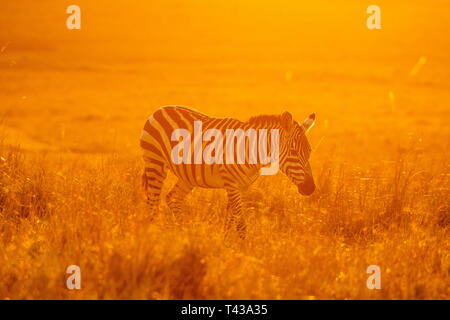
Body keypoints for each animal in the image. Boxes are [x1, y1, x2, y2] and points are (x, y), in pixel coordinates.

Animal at [139, 105, 314, 238]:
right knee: (153, 204)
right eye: (293, 152)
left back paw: (184, 232)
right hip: (155, 164)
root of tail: (160, 110)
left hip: (188, 176)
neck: (251, 150)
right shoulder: (232, 184)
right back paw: (152, 235)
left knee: (172, 198)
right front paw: (243, 252)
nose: (310, 188)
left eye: (310, 152)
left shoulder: (242, 186)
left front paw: (226, 246)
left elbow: (230, 221)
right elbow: (241, 225)